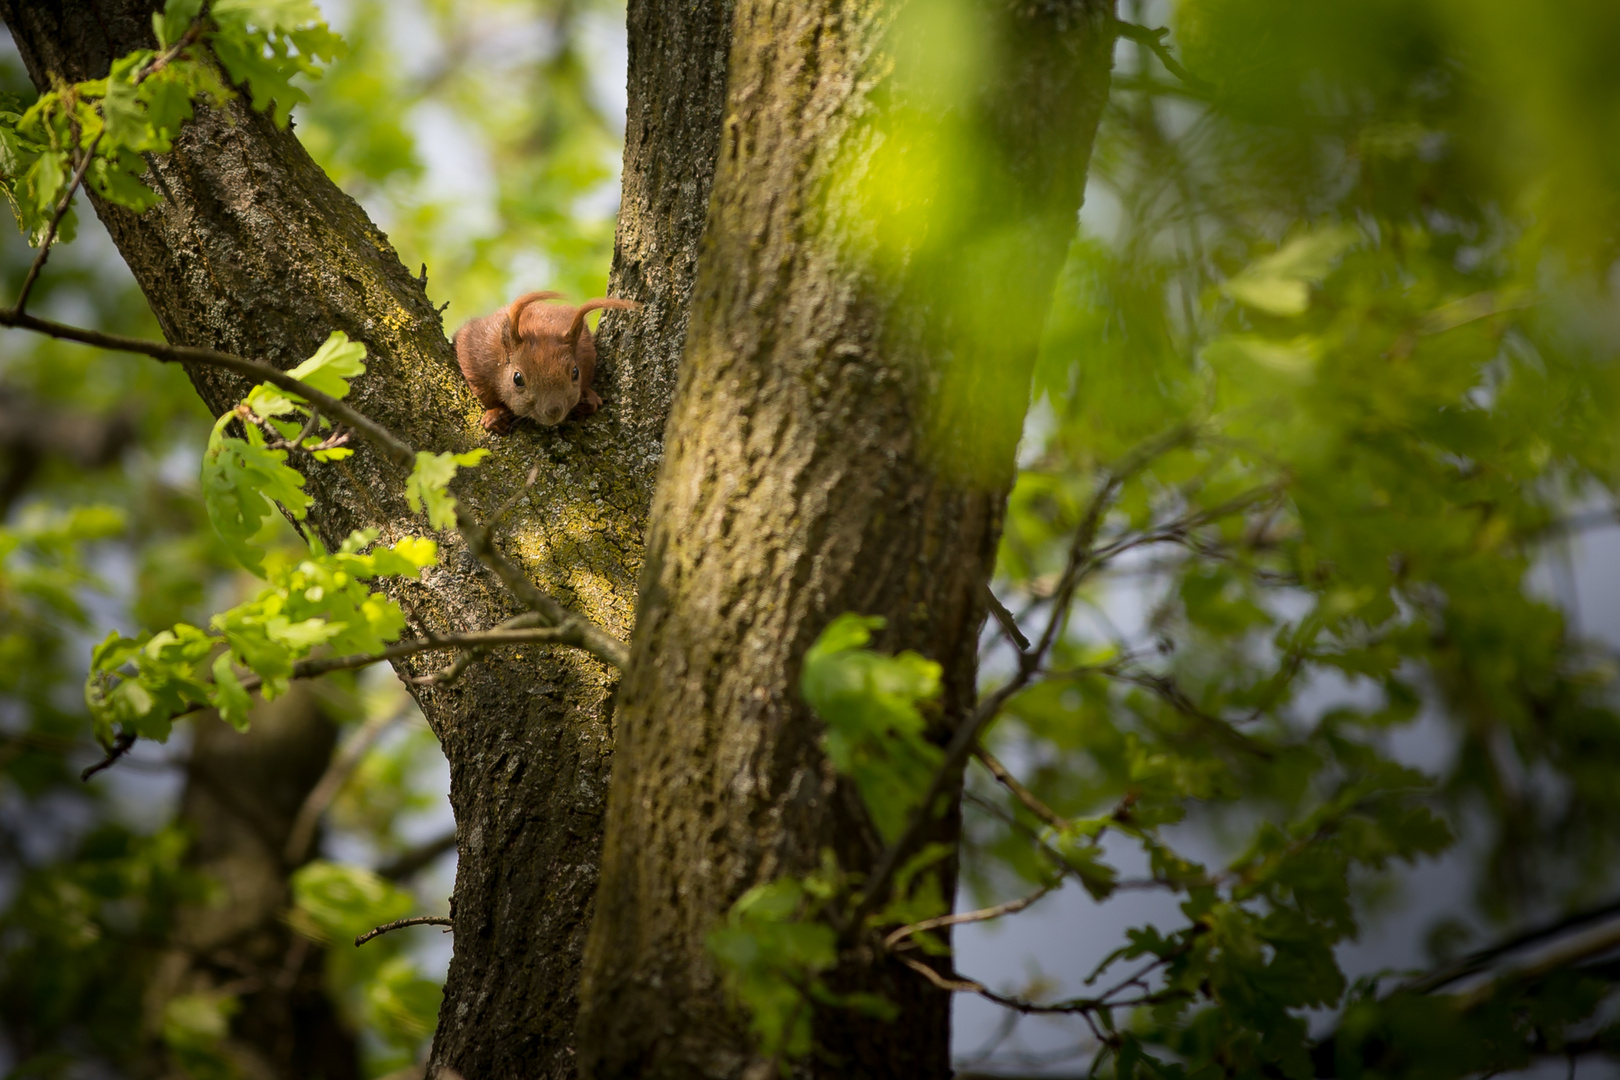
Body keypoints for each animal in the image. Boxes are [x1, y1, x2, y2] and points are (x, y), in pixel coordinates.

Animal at [456, 293, 638, 437]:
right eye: (517, 379)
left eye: (575, 372)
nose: (554, 411)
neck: (539, 329)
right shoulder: (475, 349)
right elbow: (482, 390)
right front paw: (495, 415)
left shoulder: (587, 351)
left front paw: (589, 397)